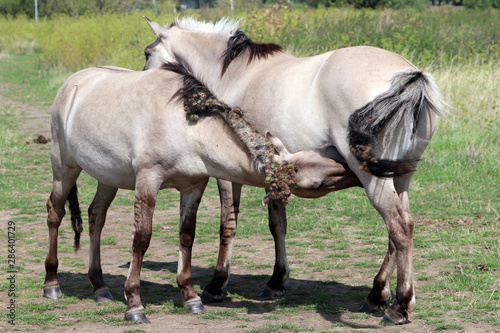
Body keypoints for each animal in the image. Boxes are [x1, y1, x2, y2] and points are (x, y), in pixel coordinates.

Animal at [45, 62, 354, 322]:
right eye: (316, 179)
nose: (349, 169)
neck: (184, 127)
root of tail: (72, 82)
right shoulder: (148, 181)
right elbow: (141, 239)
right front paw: (134, 304)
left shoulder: (194, 186)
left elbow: (187, 236)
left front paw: (191, 297)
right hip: (64, 167)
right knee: (55, 213)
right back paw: (52, 283)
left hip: (107, 177)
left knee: (96, 215)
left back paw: (99, 287)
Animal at [143, 16, 448, 322]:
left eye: (147, 53)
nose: (143, 81)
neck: (235, 76)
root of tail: (410, 76)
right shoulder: (273, 173)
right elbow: (277, 225)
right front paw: (276, 280)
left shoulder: (226, 176)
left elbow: (227, 225)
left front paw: (217, 285)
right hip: (400, 178)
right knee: (400, 229)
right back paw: (379, 295)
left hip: (375, 178)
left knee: (398, 225)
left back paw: (399, 305)